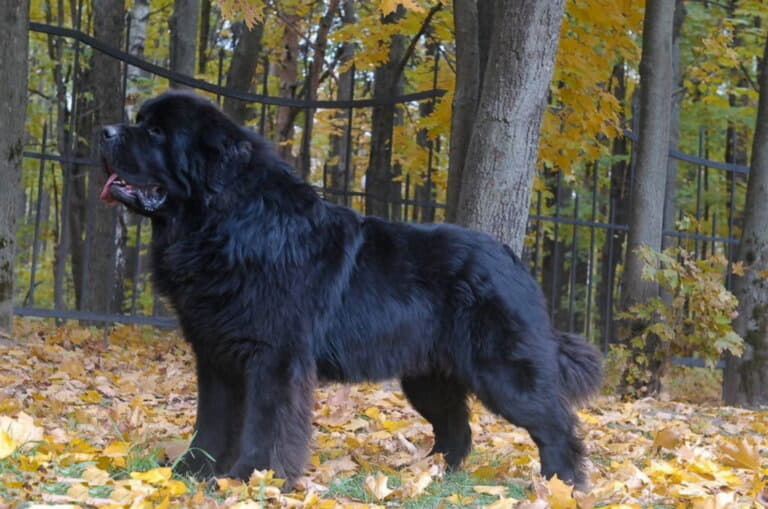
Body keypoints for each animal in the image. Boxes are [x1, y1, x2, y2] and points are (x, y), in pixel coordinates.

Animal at [99, 91, 604, 488]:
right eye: (142, 123)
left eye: (156, 133)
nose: (104, 130)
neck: (225, 223)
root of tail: (511, 257)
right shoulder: (215, 353)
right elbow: (212, 422)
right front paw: (188, 474)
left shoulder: (274, 357)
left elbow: (266, 423)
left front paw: (252, 478)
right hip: (427, 376)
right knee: (456, 428)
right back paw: (428, 477)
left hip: (502, 368)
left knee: (555, 423)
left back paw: (561, 485)